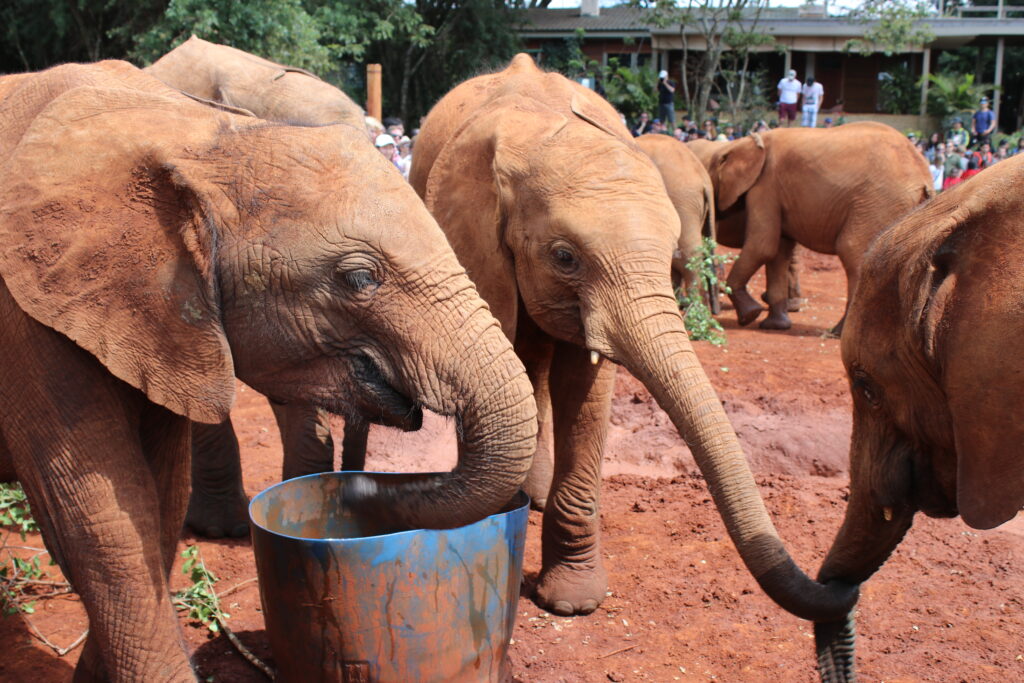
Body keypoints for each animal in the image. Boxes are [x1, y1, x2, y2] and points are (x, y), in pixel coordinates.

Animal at [399, 53, 856, 618]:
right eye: (564, 257)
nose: (840, 586)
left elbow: (586, 390)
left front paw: (573, 603)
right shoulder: (468, 243)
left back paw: (537, 495)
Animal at [704, 126, 937, 335]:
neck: (746, 142)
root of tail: (924, 178)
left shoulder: (765, 185)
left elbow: (762, 246)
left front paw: (749, 315)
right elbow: (779, 252)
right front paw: (774, 326)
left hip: (877, 204)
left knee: (854, 252)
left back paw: (837, 333)